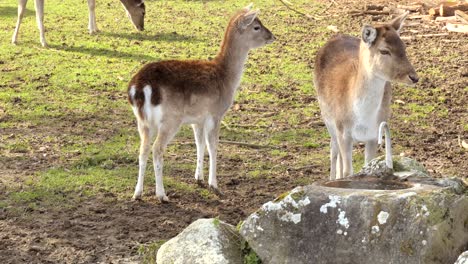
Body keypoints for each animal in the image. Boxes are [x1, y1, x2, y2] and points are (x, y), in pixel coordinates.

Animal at [126, 4, 276, 201]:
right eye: (256, 26)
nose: (272, 36)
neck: (226, 78)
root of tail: (139, 87)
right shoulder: (215, 113)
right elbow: (213, 147)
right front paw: (215, 186)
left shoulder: (197, 119)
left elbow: (200, 144)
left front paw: (199, 178)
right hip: (170, 119)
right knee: (157, 150)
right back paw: (162, 195)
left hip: (142, 121)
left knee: (142, 150)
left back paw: (137, 193)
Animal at [312, 12, 418, 180]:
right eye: (384, 51)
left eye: (404, 47)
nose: (414, 77)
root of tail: (336, 36)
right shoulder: (343, 131)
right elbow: (347, 171)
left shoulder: (374, 135)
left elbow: (367, 166)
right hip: (327, 118)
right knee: (333, 149)